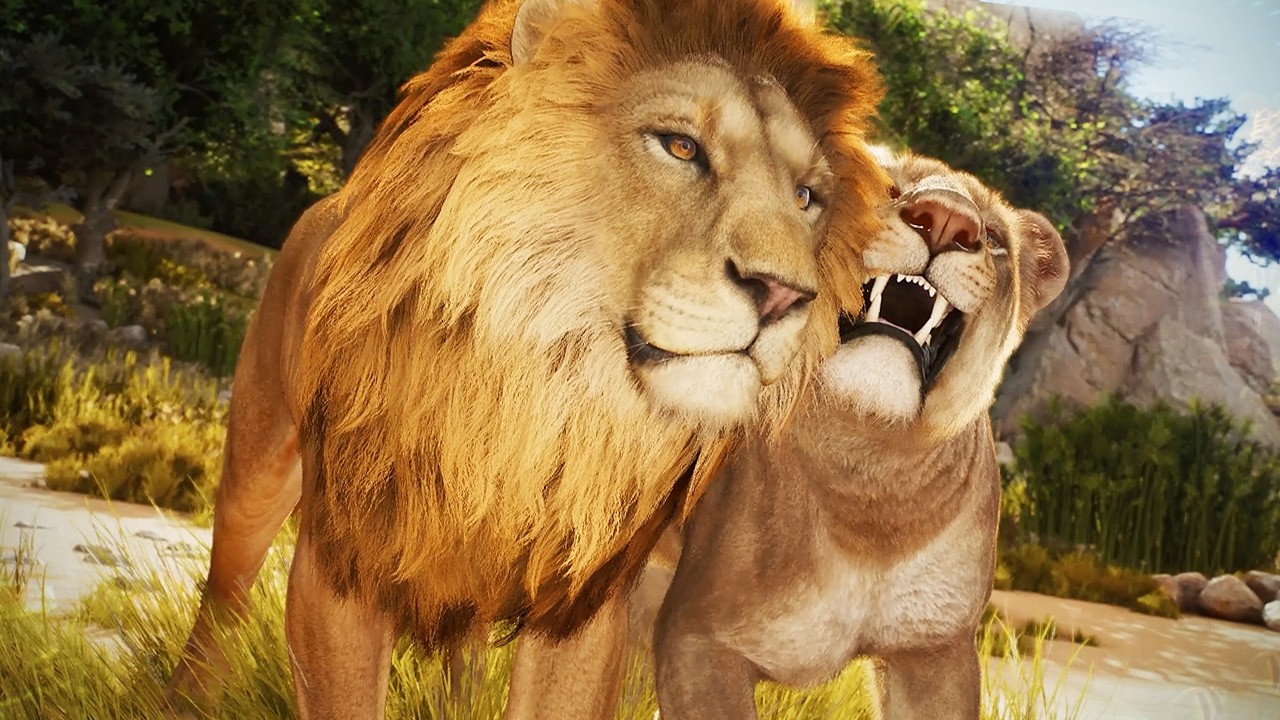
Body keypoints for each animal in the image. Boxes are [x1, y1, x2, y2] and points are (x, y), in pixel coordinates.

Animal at [163, 0, 885, 716]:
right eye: (680, 146)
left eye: (805, 197)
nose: (786, 294)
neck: (539, 397)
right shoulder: (342, 564)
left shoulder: (586, 601)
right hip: (256, 474)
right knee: (223, 598)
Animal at [640, 148, 1069, 719]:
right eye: (885, 188)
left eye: (995, 237)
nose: (946, 221)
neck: (870, 479)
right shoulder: (697, 637)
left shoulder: (935, 652)